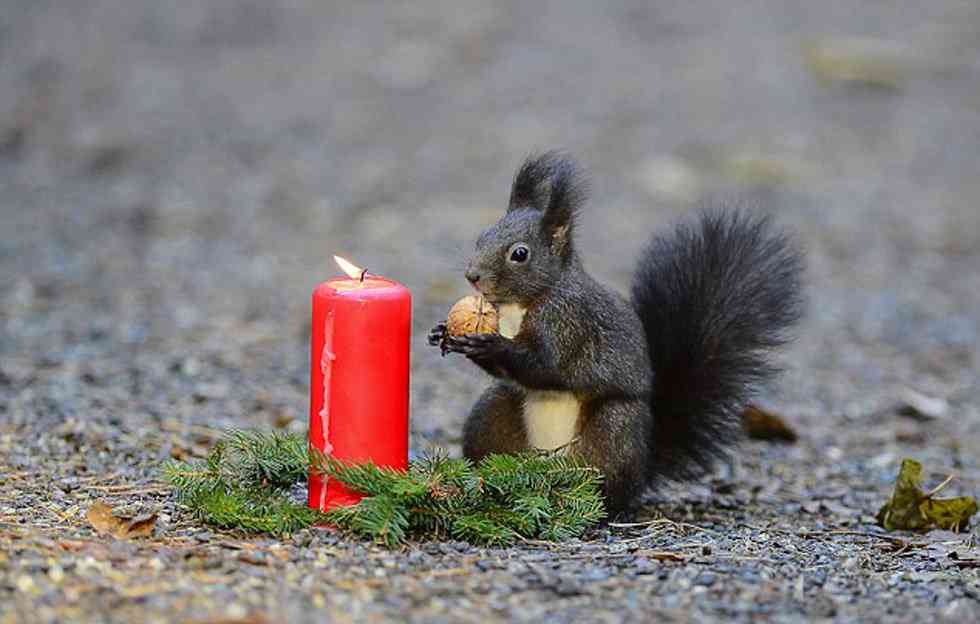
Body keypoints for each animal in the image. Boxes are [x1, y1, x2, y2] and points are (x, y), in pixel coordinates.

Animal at [428, 154, 804, 516]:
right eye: (482, 236)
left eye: (519, 253)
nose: (472, 275)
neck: (520, 304)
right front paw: (442, 332)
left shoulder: (569, 321)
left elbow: (546, 366)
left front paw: (488, 344)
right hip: (491, 416)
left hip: (614, 431)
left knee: (609, 486)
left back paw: (605, 507)